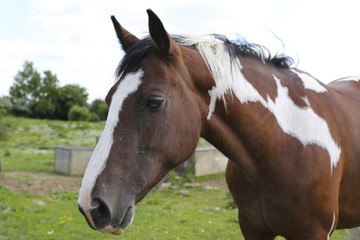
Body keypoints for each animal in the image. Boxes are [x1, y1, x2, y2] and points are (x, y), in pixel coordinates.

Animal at [78, 8, 360, 238]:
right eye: (109, 98)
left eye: (154, 101)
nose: (92, 206)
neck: (279, 145)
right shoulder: (252, 228)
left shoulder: (313, 232)